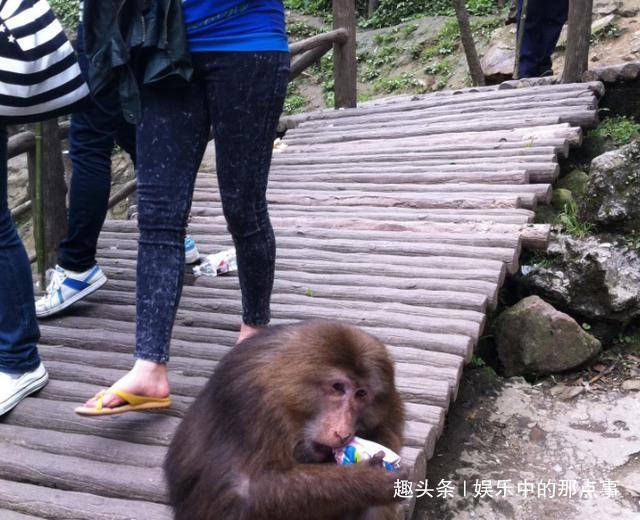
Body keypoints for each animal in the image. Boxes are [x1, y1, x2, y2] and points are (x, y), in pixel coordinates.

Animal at [164, 316, 404, 520]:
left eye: (361, 394)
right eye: (338, 387)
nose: (343, 432)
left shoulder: (391, 411)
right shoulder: (250, 404)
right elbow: (242, 489)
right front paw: (370, 479)